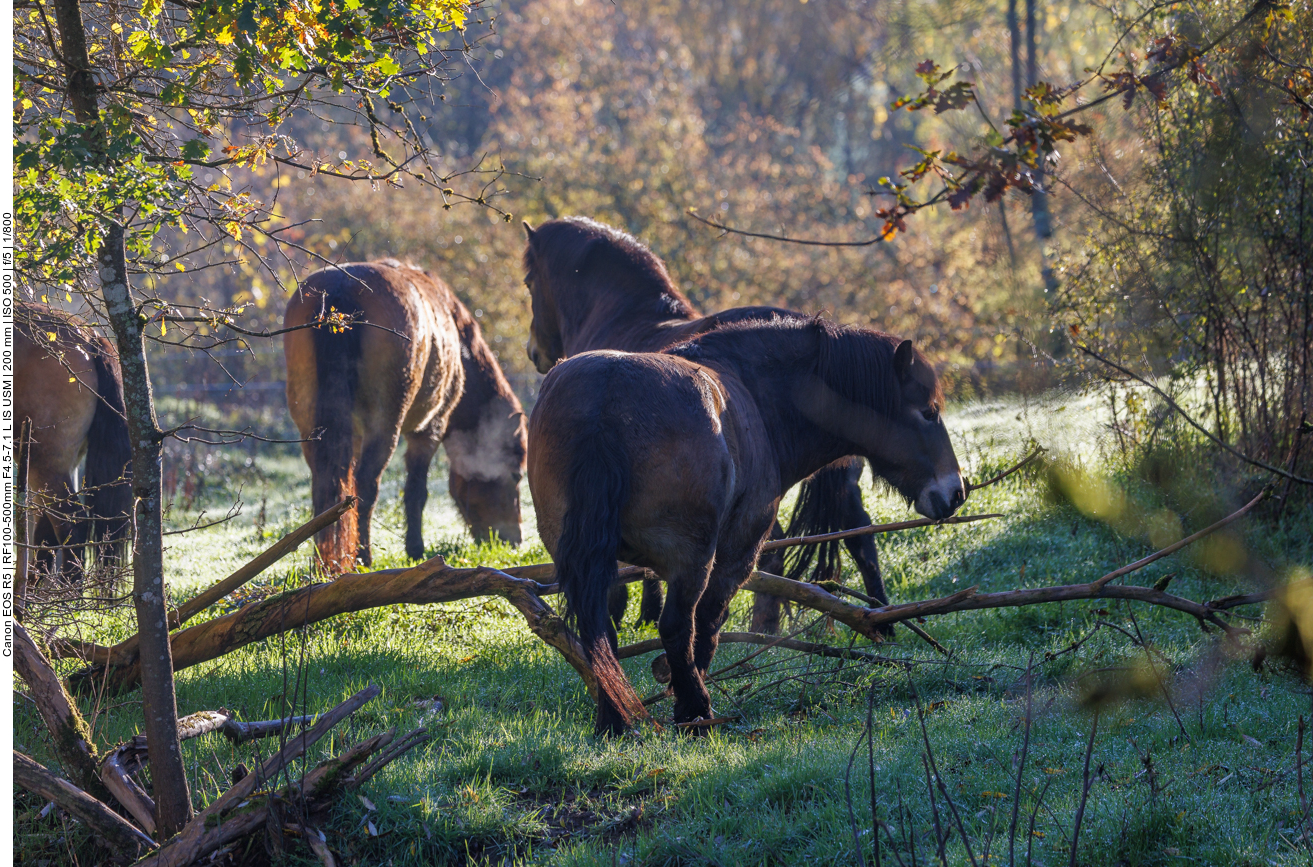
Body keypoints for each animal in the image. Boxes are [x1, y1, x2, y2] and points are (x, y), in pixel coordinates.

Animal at [284, 257, 525, 572]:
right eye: (517, 475)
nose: (515, 540)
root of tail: (340, 289)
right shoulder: (430, 429)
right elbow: (416, 492)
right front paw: (415, 549)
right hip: (386, 426)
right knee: (366, 485)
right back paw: (363, 557)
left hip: (312, 429)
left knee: (324, 486)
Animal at [527, 316, 971, 730]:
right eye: (929, 412)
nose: (956, 492)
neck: (756, 396)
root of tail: (604, 397)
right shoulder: (736, 555)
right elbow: (707, 625)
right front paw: (687, 697)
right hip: (691, 558)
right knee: (676, 626)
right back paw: (696, 712)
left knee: (598, 633)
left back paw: (614, 719)